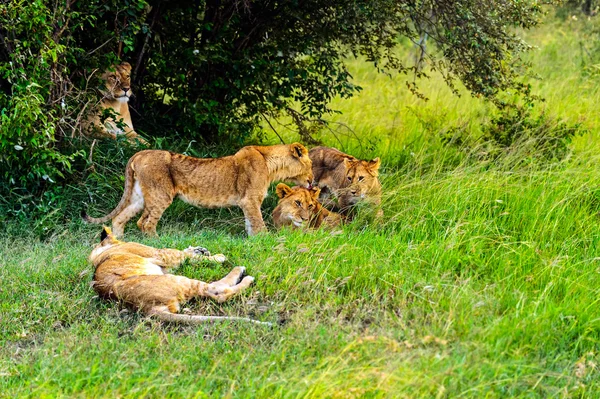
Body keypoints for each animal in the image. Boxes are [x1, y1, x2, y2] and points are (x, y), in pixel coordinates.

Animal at [82, 144, 314, 238]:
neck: (271, 165)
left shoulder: (246, 202)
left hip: (139, 196)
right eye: (311, 164)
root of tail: (140, 153)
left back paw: (119, 243)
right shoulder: (250, 200)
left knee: (119, 217)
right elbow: (258, 224)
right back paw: (158, 242)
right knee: (144, 223)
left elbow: (250, 224)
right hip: (161, 194)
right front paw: (265, 241)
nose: (312, 181)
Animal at [89, 227, 270, 326]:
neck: (100, 252)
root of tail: (146, 308)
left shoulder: (165, 265)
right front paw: (217, 257)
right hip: (180, 280)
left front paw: (199, 249)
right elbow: (182, 254)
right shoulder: (162, 255)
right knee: (217, 292)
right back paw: (242, 274)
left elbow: (187, 253)